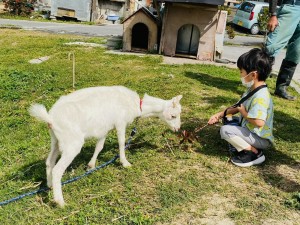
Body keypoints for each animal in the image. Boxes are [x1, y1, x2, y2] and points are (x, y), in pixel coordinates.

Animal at [29, 85, 182, 207]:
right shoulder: (120, 122)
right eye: (173, 116)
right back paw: (60, 202)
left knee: (49, 161)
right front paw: (125, 163)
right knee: (57, 170)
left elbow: (100, 146)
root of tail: (50, 118)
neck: (135, 105)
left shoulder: (105, 128)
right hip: (72, 142)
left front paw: (91, 165)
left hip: (56, 139)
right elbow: (121, 142)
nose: (178, 129)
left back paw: (49, 186)